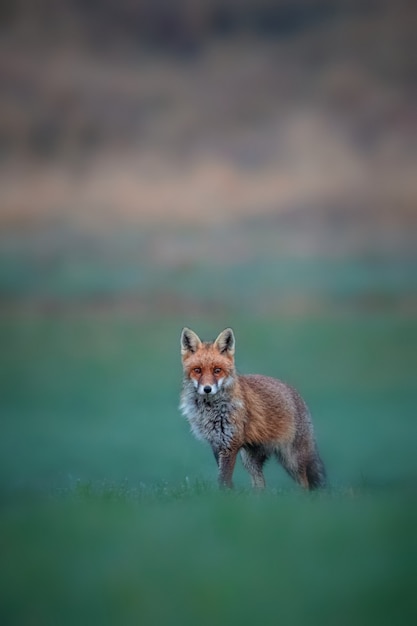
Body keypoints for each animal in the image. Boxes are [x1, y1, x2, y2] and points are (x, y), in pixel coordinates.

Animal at [179, 324, 324, 490]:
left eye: (217, 370)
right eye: (197, 370)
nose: (207, 389)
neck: (210, 410)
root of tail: (295, 393)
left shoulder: (230, 444)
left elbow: (224, 479)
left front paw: (224, 494)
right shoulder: (217, 443)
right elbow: (222, 477)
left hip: (291, 459)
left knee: (305, 483)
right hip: (249, 458)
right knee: (260, 485)